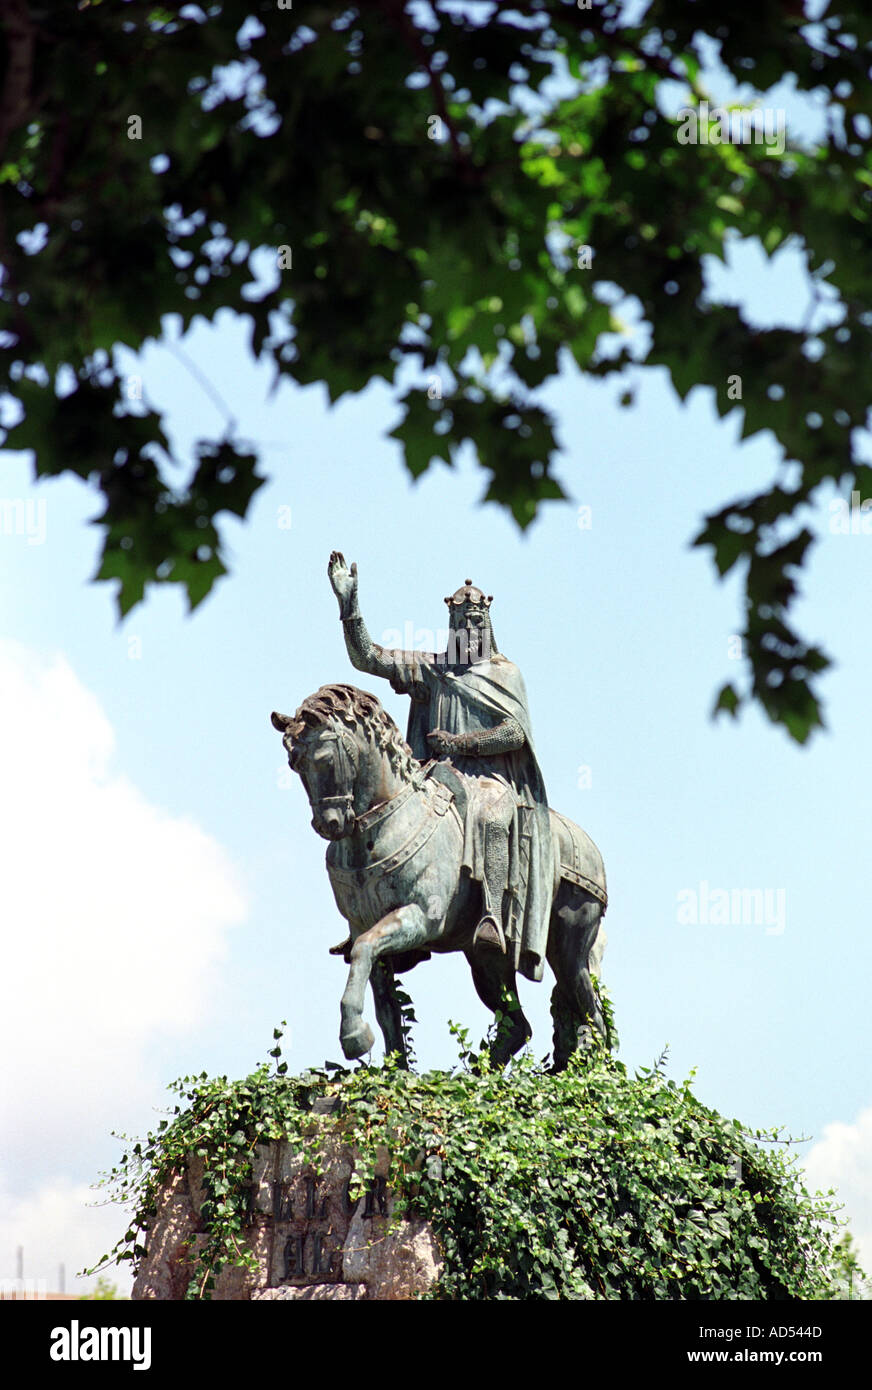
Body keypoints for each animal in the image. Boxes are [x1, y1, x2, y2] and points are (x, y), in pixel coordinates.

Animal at [271, 681, 606, 1061]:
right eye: (293, 763)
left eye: (325, 759)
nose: (329, 825)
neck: (385, 821)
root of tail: (586, 845)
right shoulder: (362, 926)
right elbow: (383, 1001)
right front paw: (392, 1064)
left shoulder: (421, 917)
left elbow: (365, 951)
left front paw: (355, 1036)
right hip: (488, 962)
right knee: (518, 1027)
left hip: (569, 950)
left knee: (593, 1015)